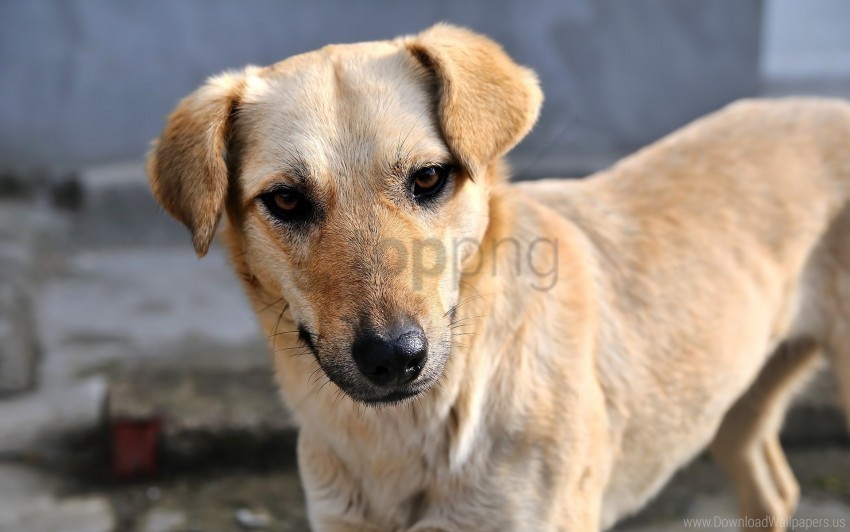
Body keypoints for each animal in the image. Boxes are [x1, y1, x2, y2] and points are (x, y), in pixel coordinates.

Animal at [146, 22, 848, 528]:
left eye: (429, 177)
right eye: (287, 200)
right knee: (774, 490)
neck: (403, 438)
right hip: (732, 405)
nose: (393, 358)